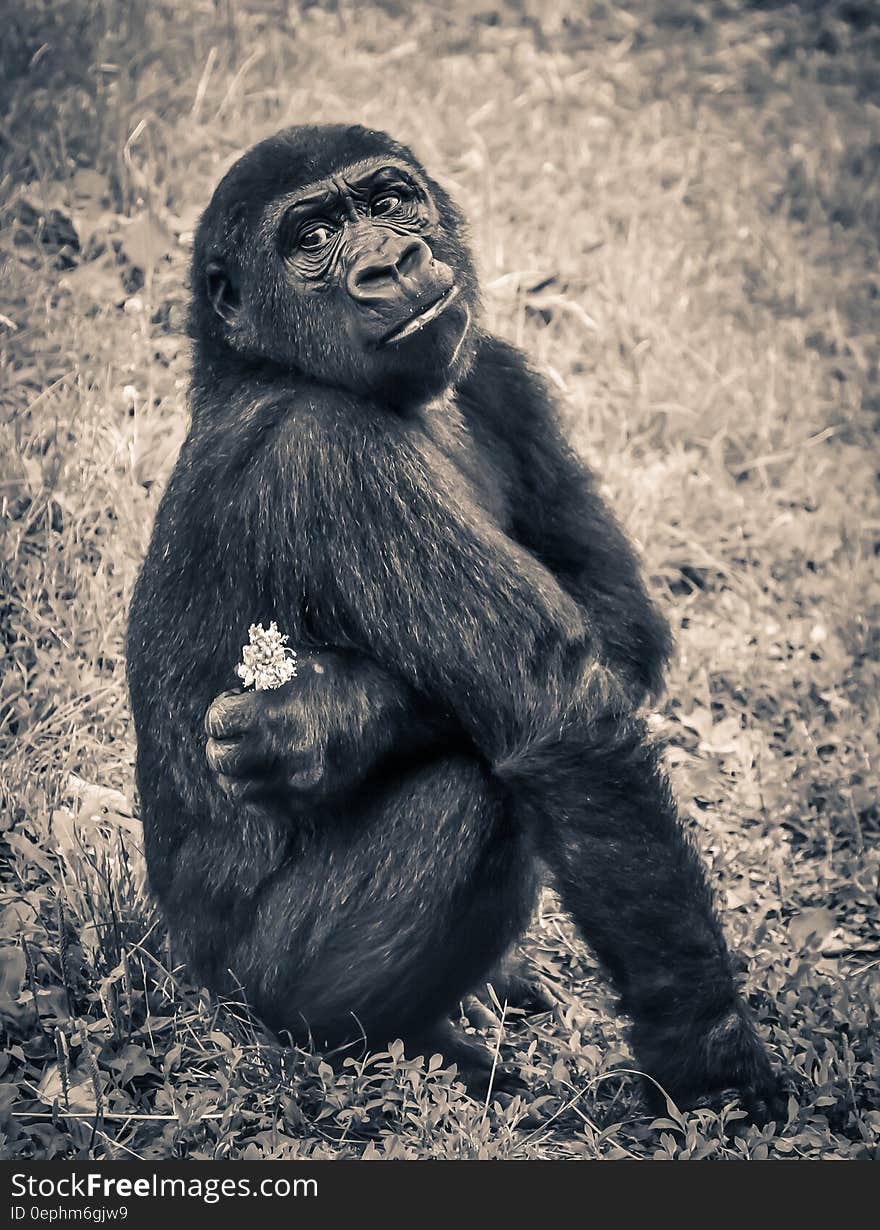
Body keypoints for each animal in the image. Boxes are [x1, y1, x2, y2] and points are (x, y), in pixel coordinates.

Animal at [127, 122, 782, 1116]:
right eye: (312, 239)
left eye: (392, 202)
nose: (391, 264)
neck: (261, 363)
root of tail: (189, 970)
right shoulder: (329, 451)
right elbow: (559, 714)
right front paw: (711, 1061)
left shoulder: (500, 370)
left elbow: (619, 620)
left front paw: (323, 719)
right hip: (249, 990)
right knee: (471, 797)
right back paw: (398, 1044)